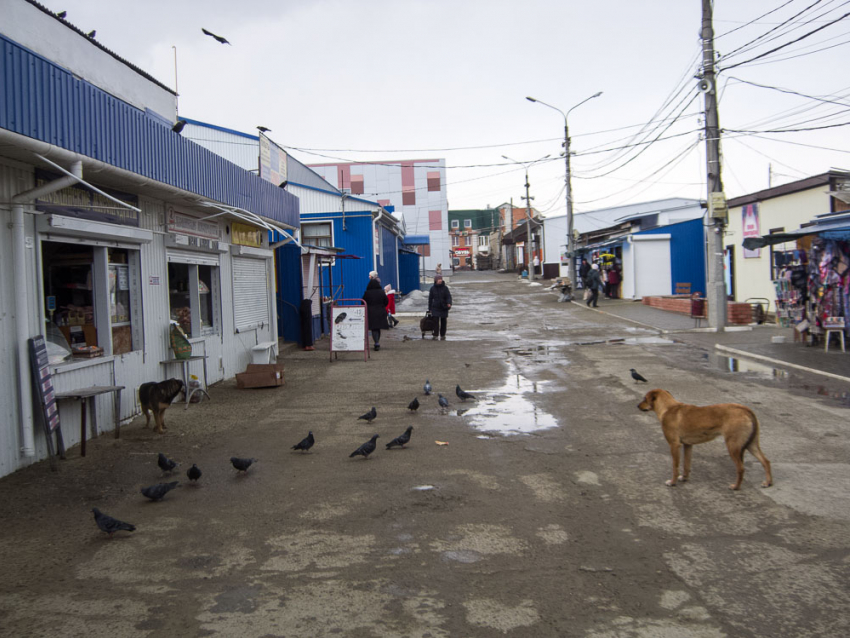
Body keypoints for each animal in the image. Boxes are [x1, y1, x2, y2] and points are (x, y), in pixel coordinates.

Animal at [636, 390, 768, 490]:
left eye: (645, 398)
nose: (637, 406)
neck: (668, 408)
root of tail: (745, 409)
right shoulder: (688, 445)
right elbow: (686, 465)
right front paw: (684, 478)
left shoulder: (674, 445)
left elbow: (675, 467)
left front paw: (673, 482)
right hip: (751, 444)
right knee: (765, 461)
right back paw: (768, 482)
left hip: (733, 446)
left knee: (741, 469)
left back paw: (736, 486)